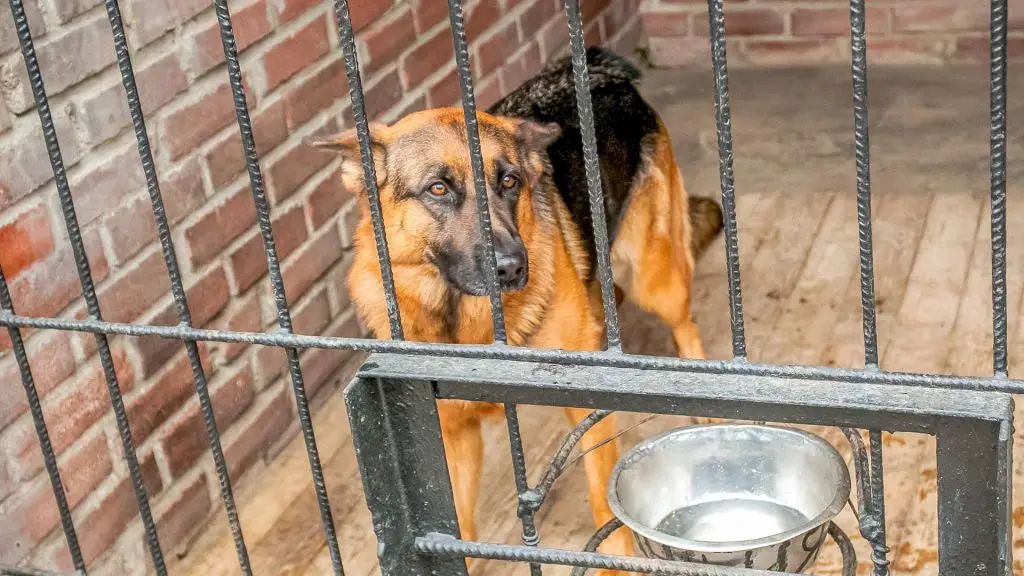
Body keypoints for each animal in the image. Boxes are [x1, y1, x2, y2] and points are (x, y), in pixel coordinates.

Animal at [307, 47, 724, 565]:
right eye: (438, 189)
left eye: (509, 181)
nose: (512, 267)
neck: (466, 324)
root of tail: (598, 67)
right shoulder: (450, 436)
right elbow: (458, 528)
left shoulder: (582, 408)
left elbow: (601, 503)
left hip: (654, 275)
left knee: (684, 326)